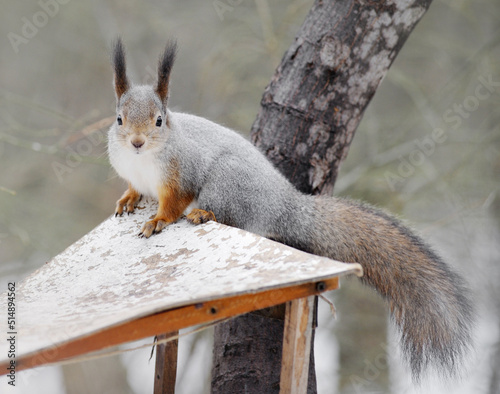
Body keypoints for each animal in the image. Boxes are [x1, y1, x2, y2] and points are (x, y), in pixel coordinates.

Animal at [106, 38, 472, 380]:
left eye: (159, 121)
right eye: (119, 119)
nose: (137, 142)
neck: (144, 161)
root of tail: (282, 203)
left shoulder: (183, 173)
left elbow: (175, 202)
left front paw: (158, 220)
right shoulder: (135, 174)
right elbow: (135, 189)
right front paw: (128, 200)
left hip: (227, 183)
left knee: (231, 215)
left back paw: (204, 214)